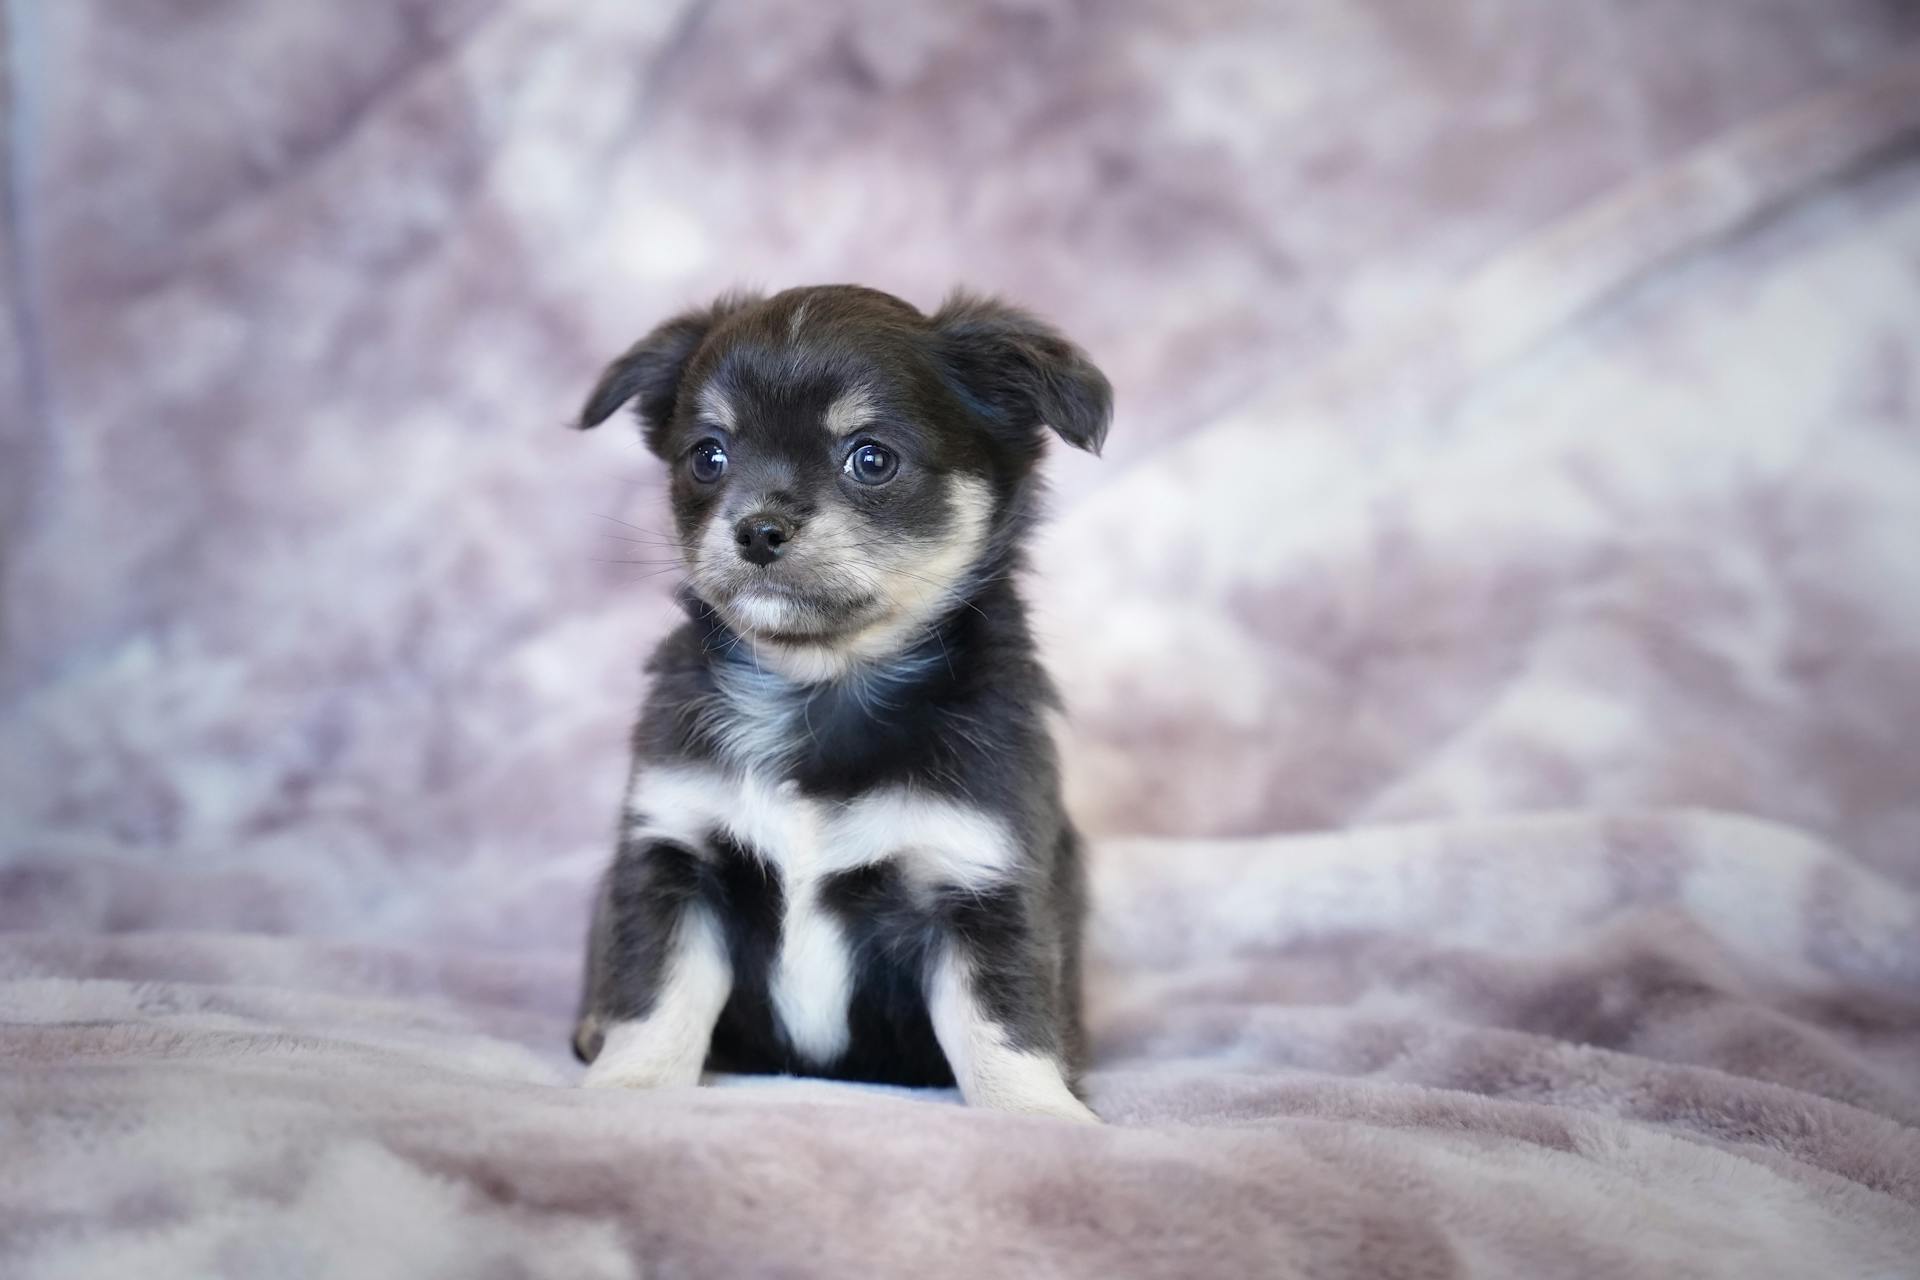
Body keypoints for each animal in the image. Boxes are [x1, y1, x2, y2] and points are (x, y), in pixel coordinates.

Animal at [568, 282, 1113, 1120]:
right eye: (708, 457)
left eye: (872, 458)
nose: (758, 528)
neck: (818, 688)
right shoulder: (674, 857)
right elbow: (656, 992)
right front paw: (631, 1087)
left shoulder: (981, 881)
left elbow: (1002, 1024)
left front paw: (1038, 1115)